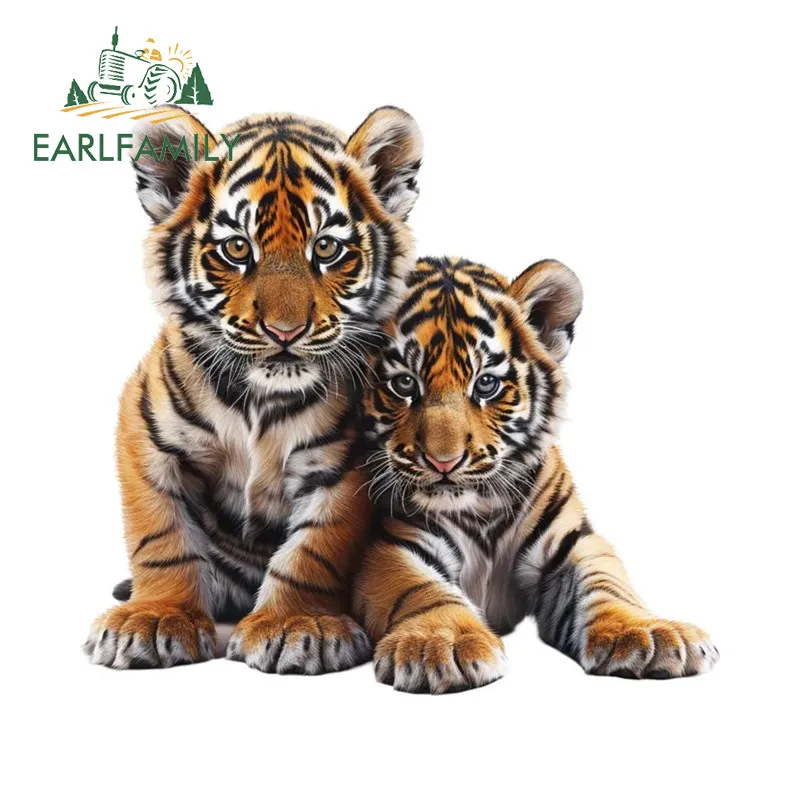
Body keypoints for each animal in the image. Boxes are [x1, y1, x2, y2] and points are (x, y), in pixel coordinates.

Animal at [83, 105, 423, 673]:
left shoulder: (346, 467)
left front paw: (296, 624)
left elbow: (314, 552)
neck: (261, 401)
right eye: (238, 248)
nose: (285, 332)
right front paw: (155, 617)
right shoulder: (143, 434)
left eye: (326, 248)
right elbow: (162, 536)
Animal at [353, 256, 719, 693]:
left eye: (486, 384)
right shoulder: (395, 544)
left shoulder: (573, 543)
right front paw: (441, 644)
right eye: (404, 383)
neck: (480, 509)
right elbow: (419, 589)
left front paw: (650, 633)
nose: (443, 462)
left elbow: (606, 585)